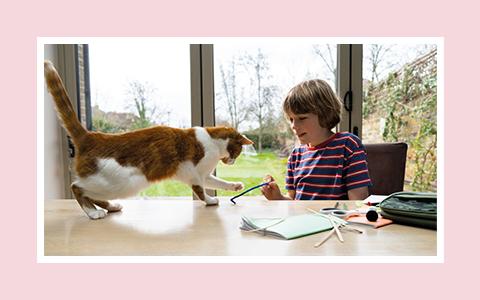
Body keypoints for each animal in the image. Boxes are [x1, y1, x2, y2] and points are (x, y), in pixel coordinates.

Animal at [43, 60, 251, 220]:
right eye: (238, 152)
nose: (232, 162)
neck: (212, 141)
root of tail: (91, 136)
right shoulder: (195, 174)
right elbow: (200, 190)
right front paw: (210, 200)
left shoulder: (204, 174)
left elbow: (219, 182)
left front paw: (235, 185)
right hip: (119, 183)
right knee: (77, 187)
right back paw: (93, 213)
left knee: (89, 193)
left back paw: (111, 207)